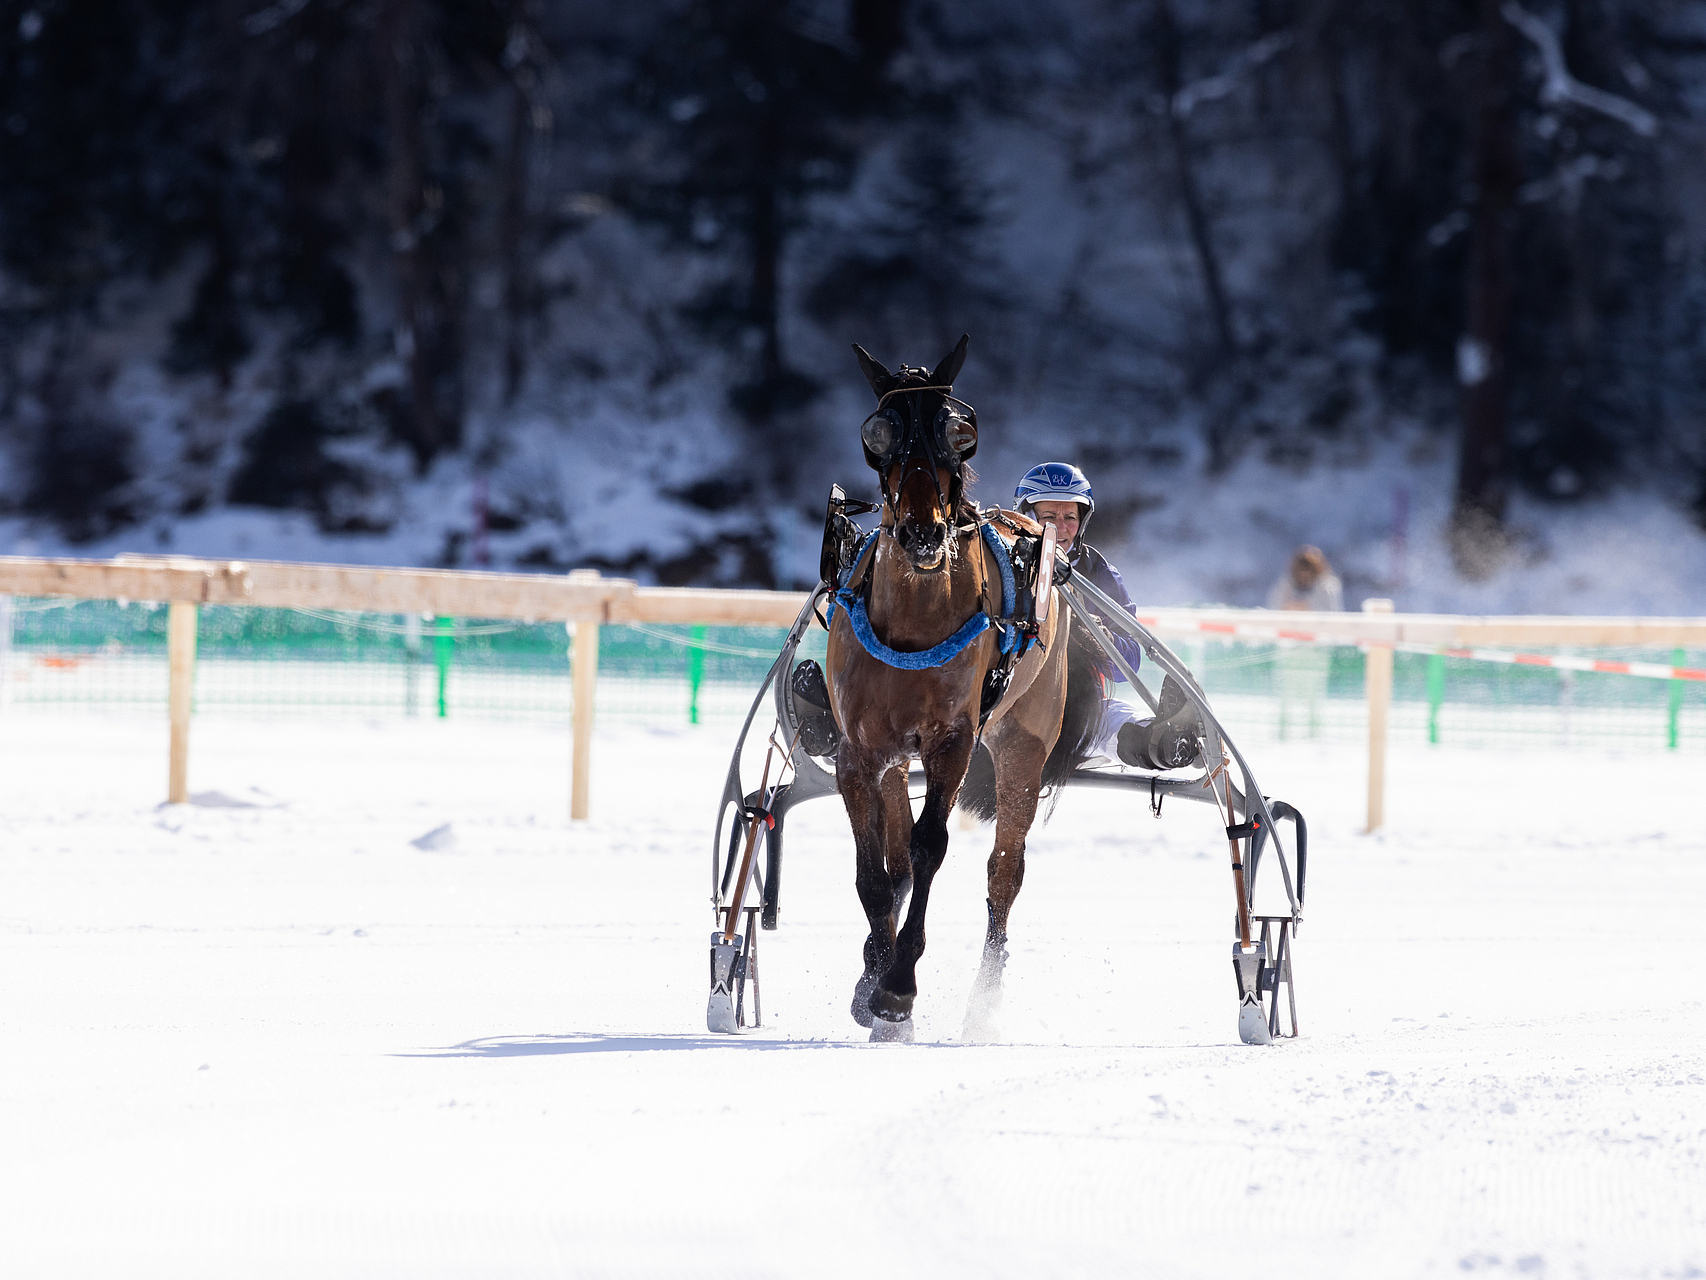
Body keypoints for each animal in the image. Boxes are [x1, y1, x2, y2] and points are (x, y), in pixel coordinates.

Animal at [824, 335, 1098, 1041]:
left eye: (958, 431)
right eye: (880, 432)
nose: (923, 532)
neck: (917, 618)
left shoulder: (952, 742)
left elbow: (930, 847)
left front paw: (898, 989)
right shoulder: (860, 751)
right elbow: (873, 869)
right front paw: (872, 979)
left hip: (1022, 743)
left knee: (1005, 870)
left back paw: (983, 1002)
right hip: (898, 758)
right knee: (895, 859)